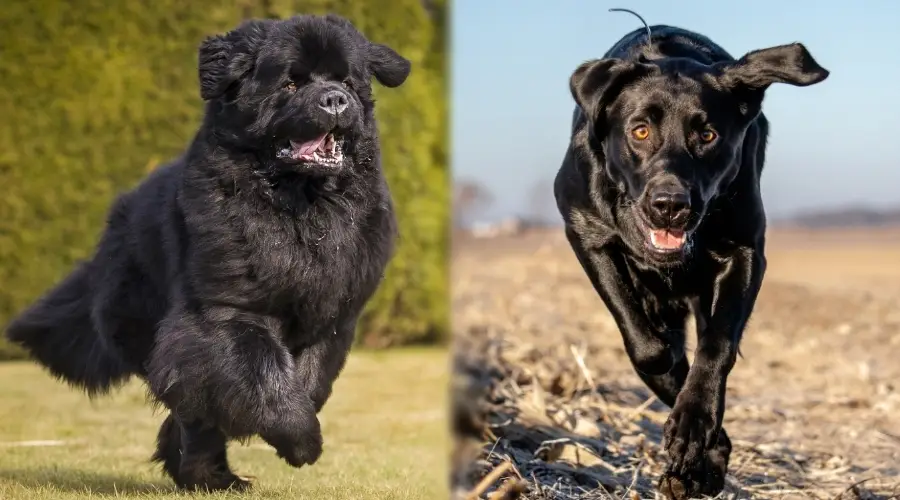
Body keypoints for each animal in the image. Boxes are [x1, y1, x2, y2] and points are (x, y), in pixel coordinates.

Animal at [3, 13, 410, 490]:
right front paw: (301, 440)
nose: (335, 100)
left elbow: (308, 381)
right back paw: (207, 474)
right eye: (291, 83)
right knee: (189, 405)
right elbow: (262, 374)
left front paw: (296, 434)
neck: (300, 205)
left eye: (347, 81)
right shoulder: (226, 311)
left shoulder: (330, 316)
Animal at [556, 25, 828, 498]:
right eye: (640, 131)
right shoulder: (585, 231)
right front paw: (695, 433)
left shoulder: (745, 253)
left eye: (708, 136)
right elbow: (649, 350)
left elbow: (717, 347)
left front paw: (694, 424)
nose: (670, 206)